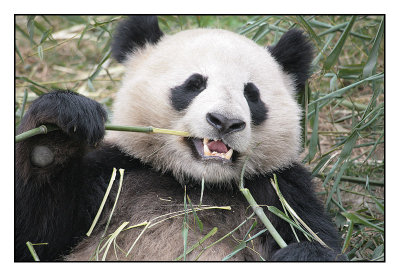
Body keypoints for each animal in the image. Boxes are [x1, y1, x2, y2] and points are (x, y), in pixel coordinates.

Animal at [15, 16, 346, 260]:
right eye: (194, 84)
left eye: (252, 95)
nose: (225, 121)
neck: (195, 183)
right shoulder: (114, 174)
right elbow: (38, 238)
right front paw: (56, 131)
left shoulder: (281, 189)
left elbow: (319, 240)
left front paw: (301, 254)